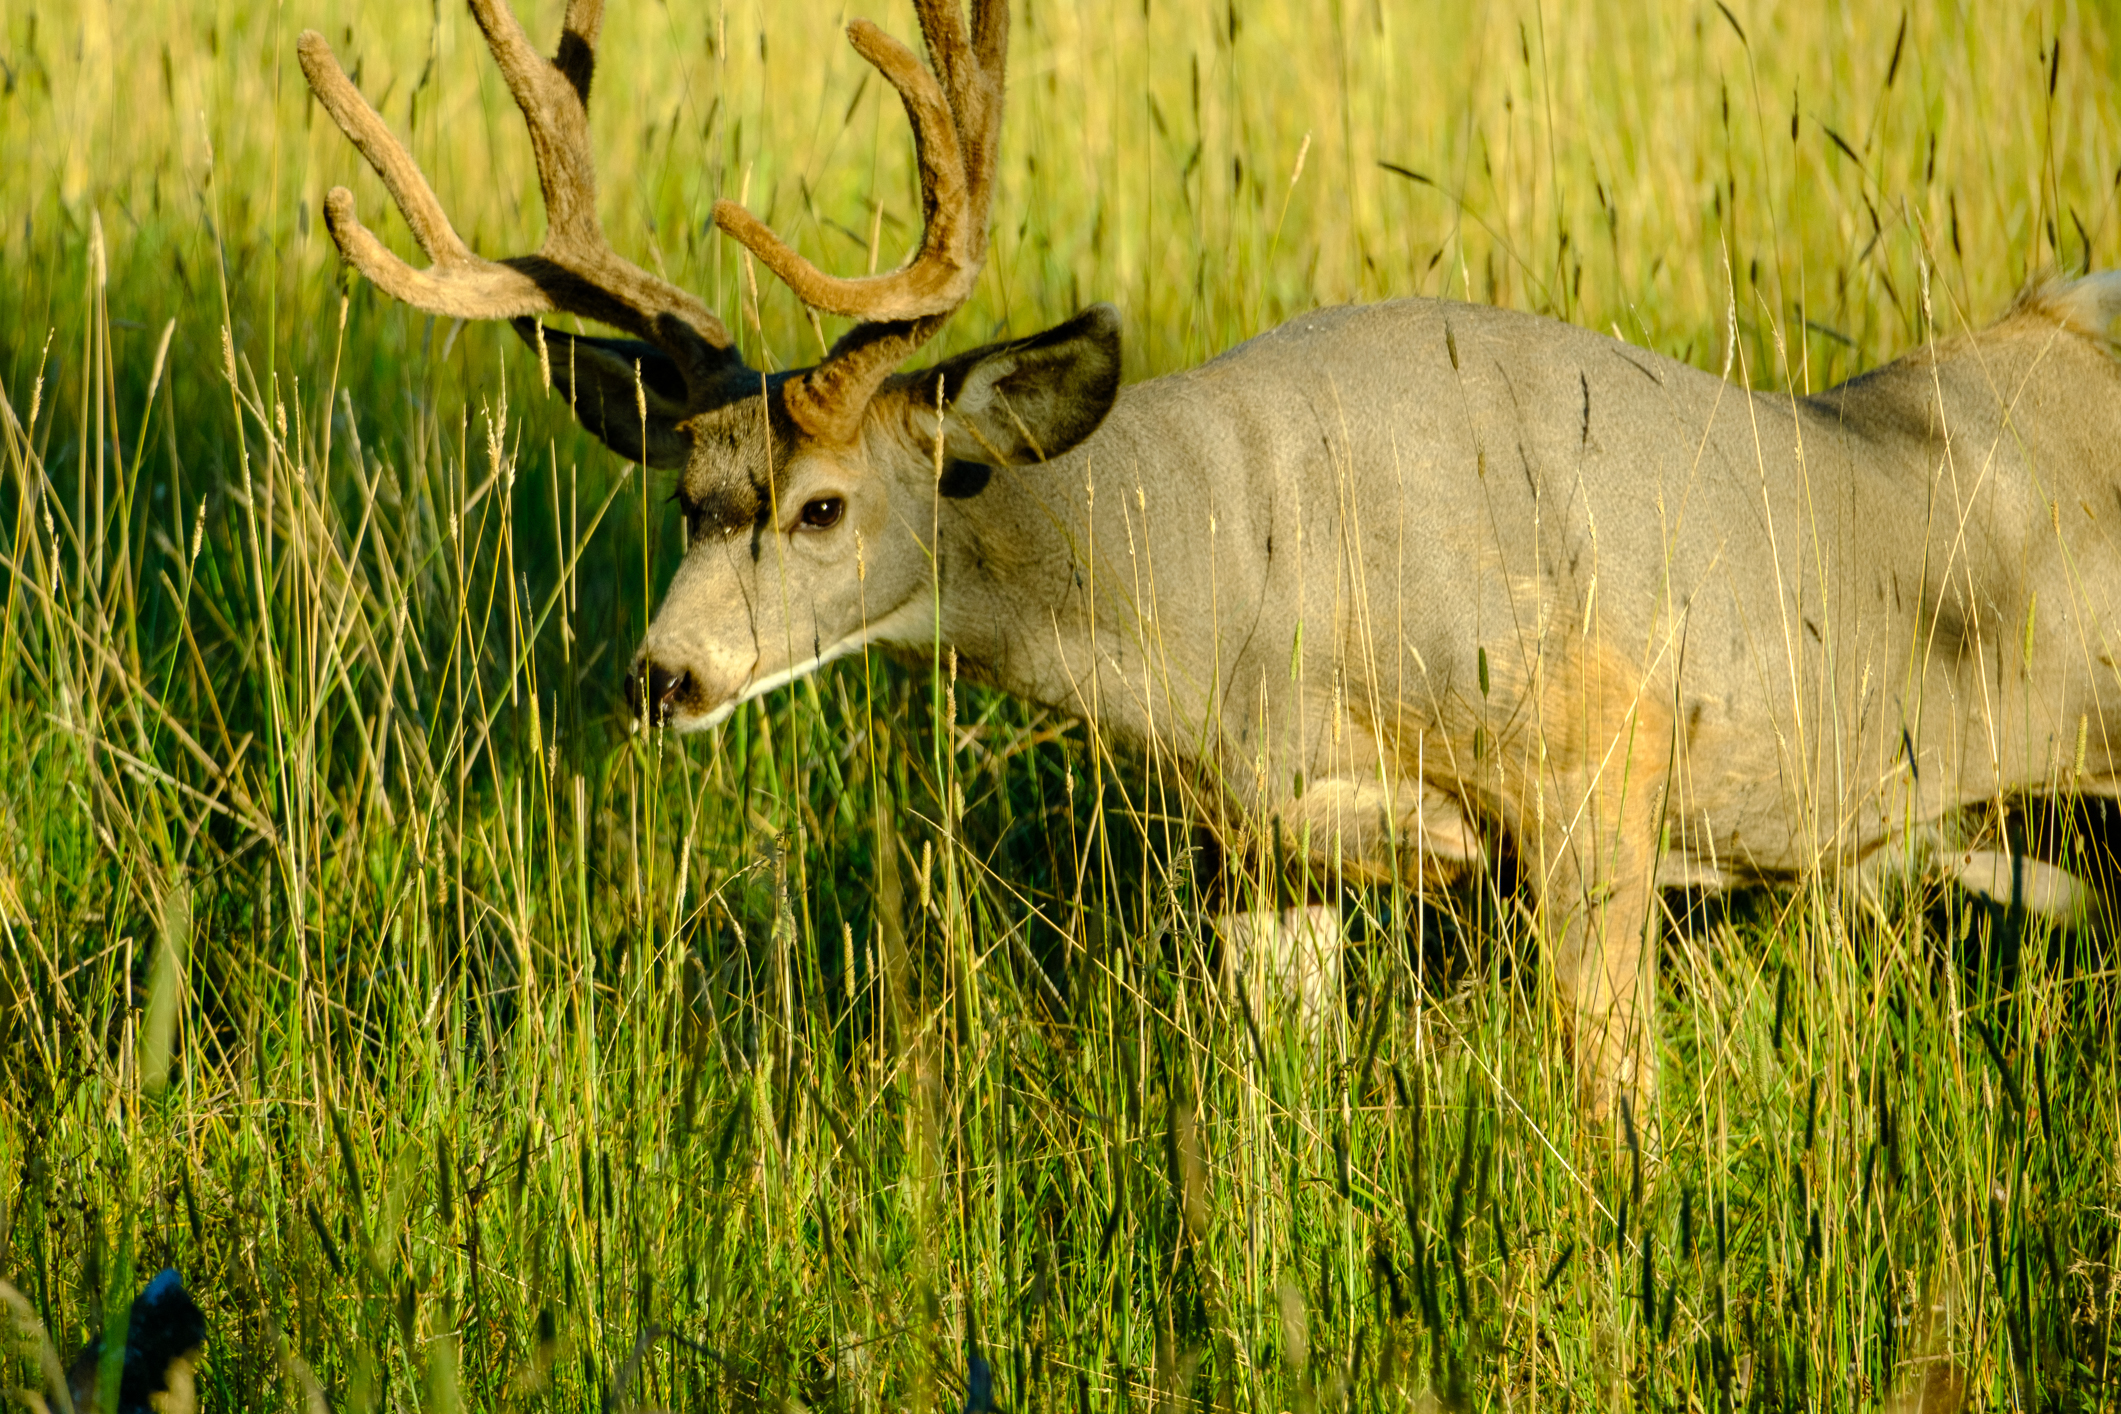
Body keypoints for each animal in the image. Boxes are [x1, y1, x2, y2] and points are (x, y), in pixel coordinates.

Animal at [299, 0, 2121, 1116]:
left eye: (820, 506)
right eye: (690, 493)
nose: (663, 675)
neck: (1233, 591)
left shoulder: (1598, 758)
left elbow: (1611, 1114)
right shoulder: (1266, 850)